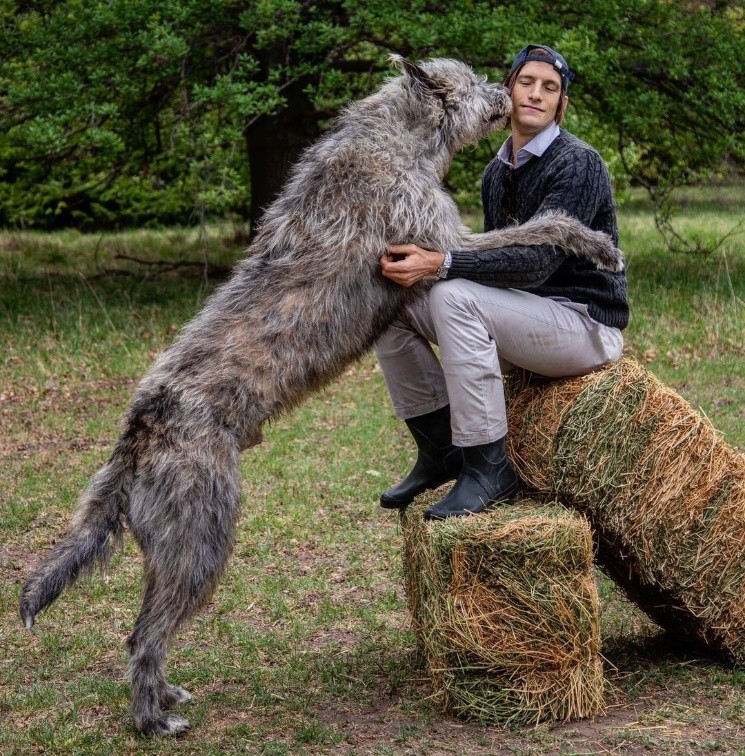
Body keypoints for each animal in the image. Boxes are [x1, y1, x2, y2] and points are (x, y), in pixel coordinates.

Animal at [18, 56, 620, 736]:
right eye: (469, 81)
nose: (507, 95)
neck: (397, 139)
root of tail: (140, 431)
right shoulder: (440, 241)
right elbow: (543, 225)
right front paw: (597, 243)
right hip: (200, 533)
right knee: (145, 635)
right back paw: (152, 719)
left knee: (147, 627)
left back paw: (166, 695)